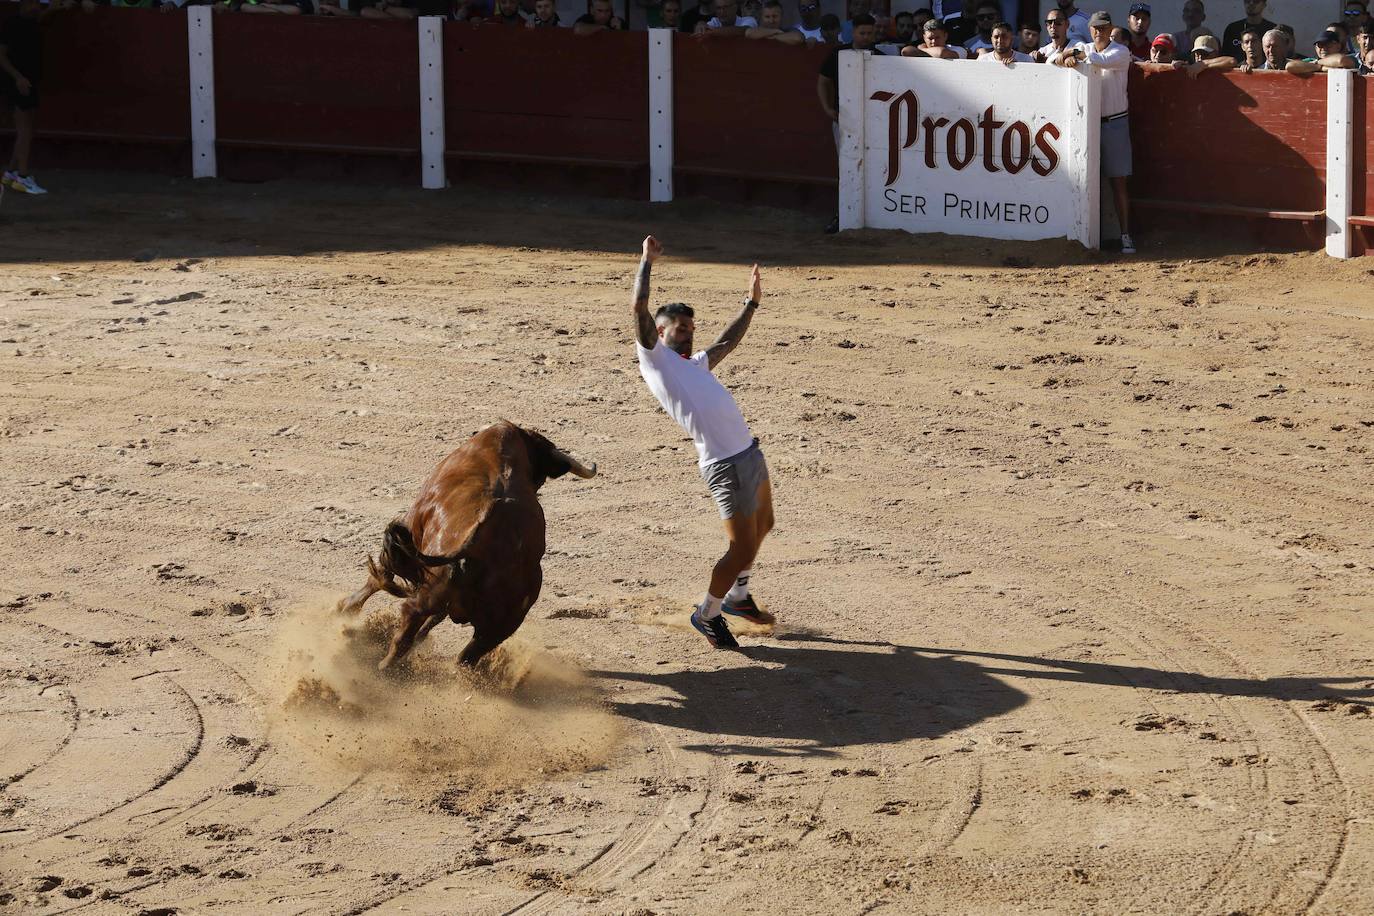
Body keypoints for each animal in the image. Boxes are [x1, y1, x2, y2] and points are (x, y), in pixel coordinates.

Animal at [336, 422, 596, 672]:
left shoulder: (412, 521)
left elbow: (380, 575)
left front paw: (345, 608)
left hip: (426, 596)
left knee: (406, 627)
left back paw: (380, 665)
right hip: (502, 625)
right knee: (465, 657)